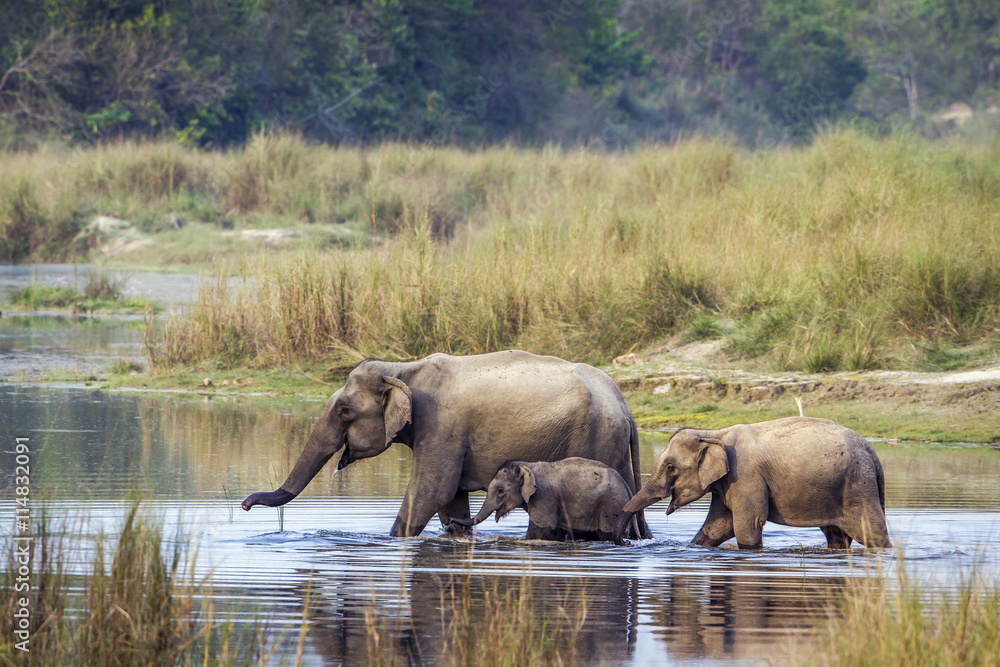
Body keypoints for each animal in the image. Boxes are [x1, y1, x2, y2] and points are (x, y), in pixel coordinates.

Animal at [450, 457, 638, 544]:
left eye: (500, 491)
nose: (451, 521)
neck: (528, 465)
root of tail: (628, 487)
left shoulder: (544, 498)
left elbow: (537, 531)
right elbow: (554, 533)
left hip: (611, 506)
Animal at [613, 417, 891, 549]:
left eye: (670, 467)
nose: (627, 542)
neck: (714, 434)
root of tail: (873, 454)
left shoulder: (746, 475)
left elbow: (746, 525)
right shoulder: (727, 482)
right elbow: (718, 526)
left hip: (858, 485)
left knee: (872, 532)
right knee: (837, 536)